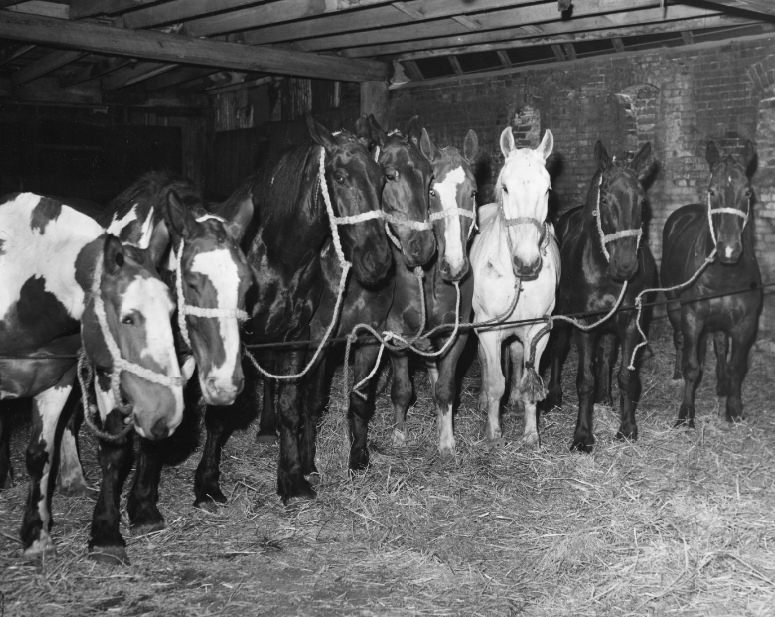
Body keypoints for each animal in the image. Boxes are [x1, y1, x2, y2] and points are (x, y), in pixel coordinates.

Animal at [0, 192, 183, 560]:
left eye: (171, 311)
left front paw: (36, 538)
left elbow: (40, 456)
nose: (167, 413)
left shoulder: (55, 384)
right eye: (128, 317)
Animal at [191, 113, 392, 502]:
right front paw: (207, 483)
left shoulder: (295, 335)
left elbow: (290, 406)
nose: (378, 262)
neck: (277, 253)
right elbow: (219, 416)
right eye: (340, 177)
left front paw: (293, 477)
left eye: (381, 178)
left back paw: (266, 428)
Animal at [470, 127, 560, 446]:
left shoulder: (538, 330)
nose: (527, 263)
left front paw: (531, 434)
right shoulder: (488, 328)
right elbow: (497, 381)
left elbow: (528, 379)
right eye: (506, 188)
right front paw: (493, 432)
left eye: (547, 190)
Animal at [544, 140, 656, 450]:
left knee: (606, 357)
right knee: (558, 350)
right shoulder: (585, 325)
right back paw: (553, 396)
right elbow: (585, 379)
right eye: (604, 199)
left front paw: (627, 428)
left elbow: (625, 376)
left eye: (642, 201)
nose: (626, 265)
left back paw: (604, 399)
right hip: (562, 319)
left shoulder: (630, 323)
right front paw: (583, 436)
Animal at [660, 141, 764, 426]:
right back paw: (676, 372)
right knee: (680, 339)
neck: (724, 275)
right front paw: (686, 414)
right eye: (711, 191)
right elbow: (692, 367)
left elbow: (736, 366)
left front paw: (734, 408)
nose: (729, 250)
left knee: (719, 345)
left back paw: (721, 383)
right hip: (674, 305)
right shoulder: (693, 318)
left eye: (748, 192)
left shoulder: (745, 323)